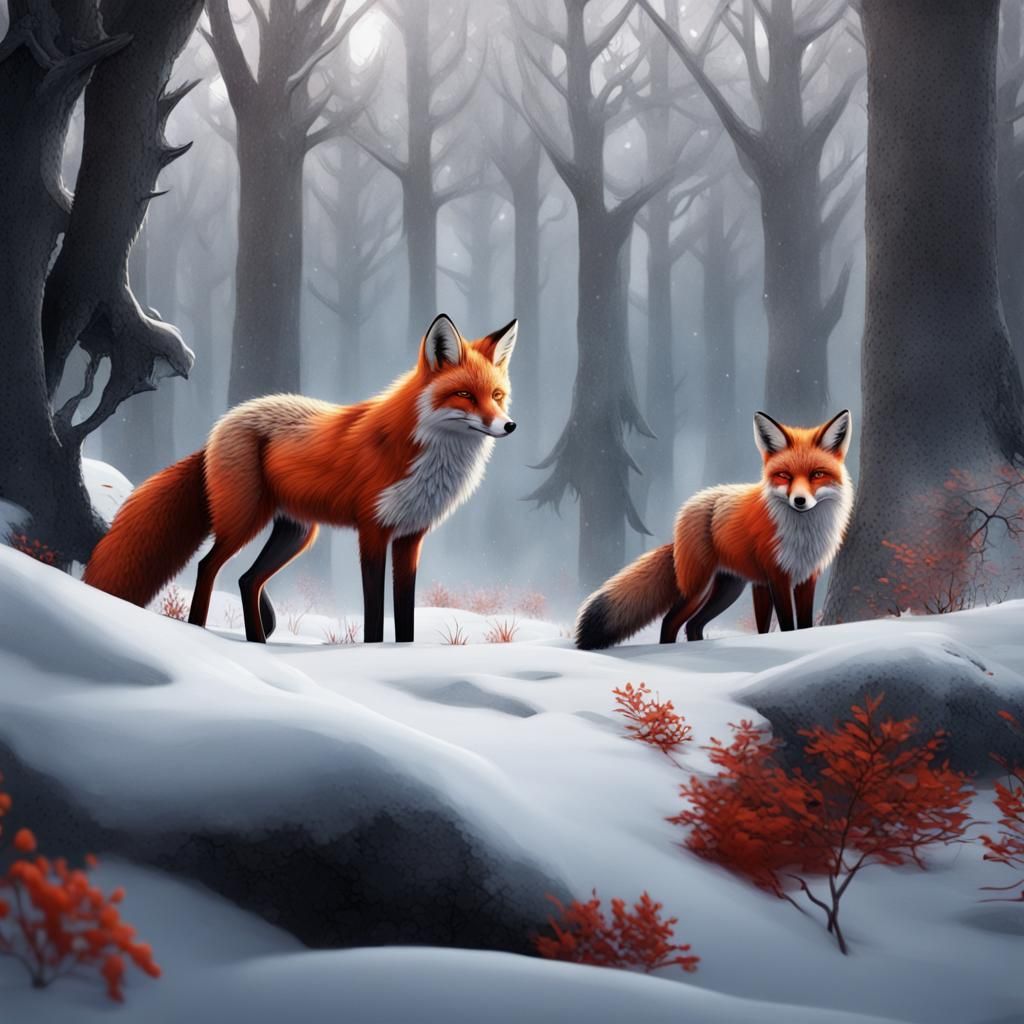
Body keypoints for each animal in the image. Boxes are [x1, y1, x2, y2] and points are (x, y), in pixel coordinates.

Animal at [84, 314, 518, 644]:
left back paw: (257, 643)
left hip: (295, 534)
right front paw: (374, 653)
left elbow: (405, 613)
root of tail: (222, 424)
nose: (509, 426)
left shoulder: (410, 537)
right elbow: (374, 612)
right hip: (244, 521)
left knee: (247, 580)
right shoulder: (372, 532)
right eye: (465, 395)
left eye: (496, 395)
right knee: (208, 567)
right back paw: (199, 631)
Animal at [575, 409, 854, 650]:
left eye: (817, 474)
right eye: (784, 475)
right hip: (698, 587)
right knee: (671, 621)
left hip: (727, 590)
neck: (804, 534)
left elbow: (797, 625)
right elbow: (786, 625)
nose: (799, 501)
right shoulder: (777, 577)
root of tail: (686, 508)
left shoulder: (804, 578)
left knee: (693, 625)